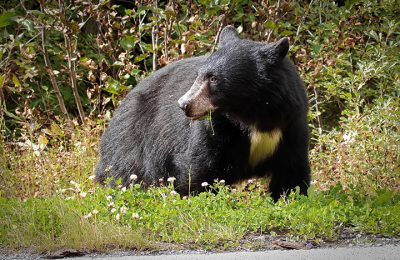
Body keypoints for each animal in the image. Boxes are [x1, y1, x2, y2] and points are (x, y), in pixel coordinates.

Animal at [95, 26, 310, 200]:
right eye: (198, 75)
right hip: (135, 142)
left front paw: (289, 197)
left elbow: (291, 169)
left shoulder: (290, 122)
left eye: (214, 78)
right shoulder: (216, 127)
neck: (252, 114)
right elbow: (201, 165)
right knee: (126, 172)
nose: (184, 104)